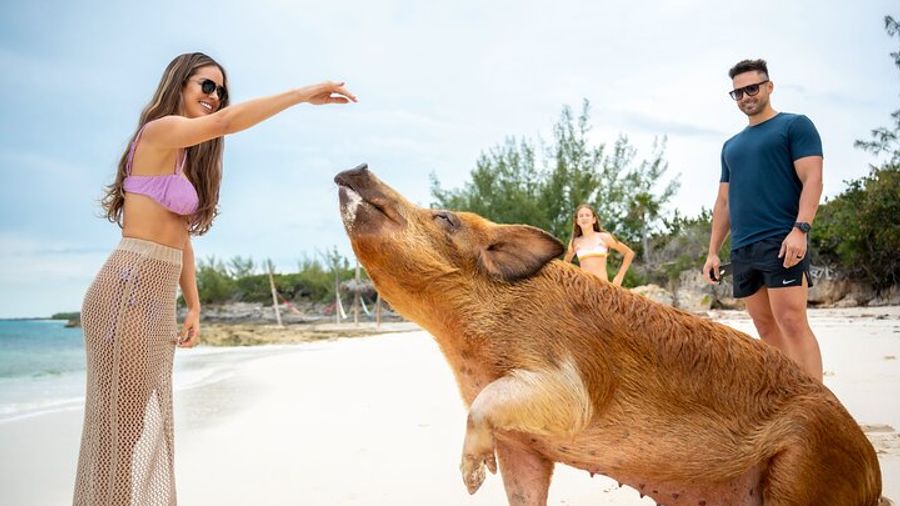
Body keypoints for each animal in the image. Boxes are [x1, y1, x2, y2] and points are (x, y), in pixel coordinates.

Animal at [335, 164, 889, 506]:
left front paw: (471, 478)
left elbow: (499, 402)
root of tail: (873, 473)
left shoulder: (566, 379)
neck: (468, 340)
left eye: (444, 216)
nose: (356, 167)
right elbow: (522, 486)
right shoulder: (524, 445)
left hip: (805, 466)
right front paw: (482, 481)